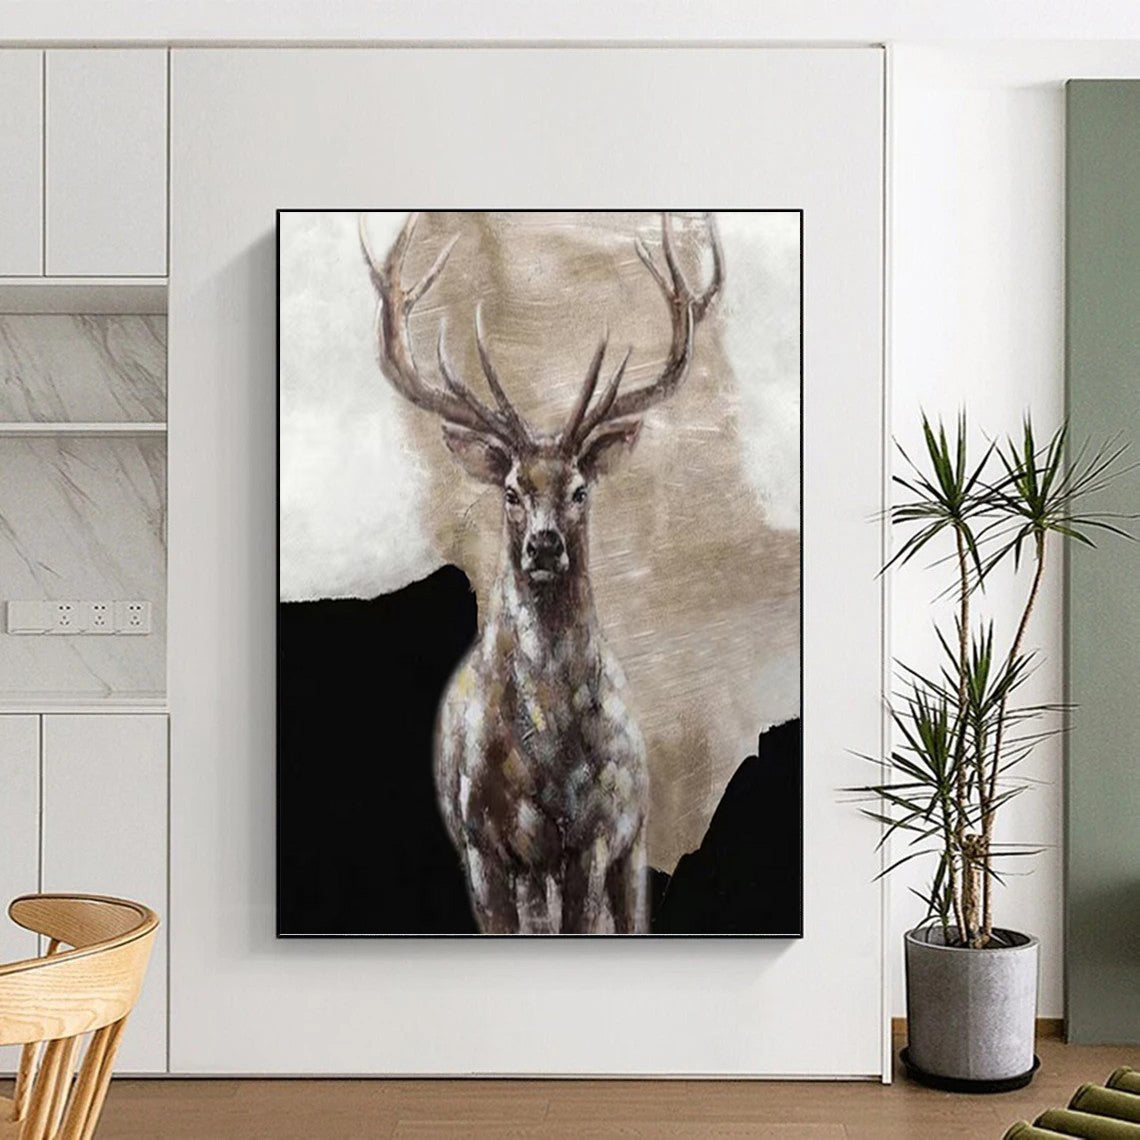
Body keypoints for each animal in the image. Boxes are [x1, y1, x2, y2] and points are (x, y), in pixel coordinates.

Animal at [359, 211, 723, 933]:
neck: (542, 758)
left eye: (580, 489)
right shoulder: (479, 844)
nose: (546, 545)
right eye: (510, 490)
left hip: (634, 839)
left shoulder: (596, 836)